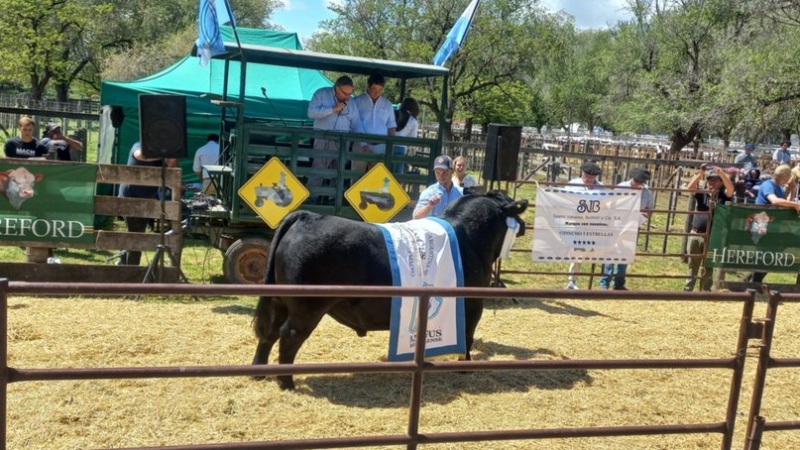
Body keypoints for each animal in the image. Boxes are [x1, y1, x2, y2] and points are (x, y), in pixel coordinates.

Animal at [250, 190, 524, 390]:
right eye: (509, 204)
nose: (522, 223)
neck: (469, 238)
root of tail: (305, 216)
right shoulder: (473, 302)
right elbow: (468, 336)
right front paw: (466, 367)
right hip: (306, 306)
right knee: (289, 335)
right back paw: (286, 382)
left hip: (278, 300)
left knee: (268, 333)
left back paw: (258, 373)